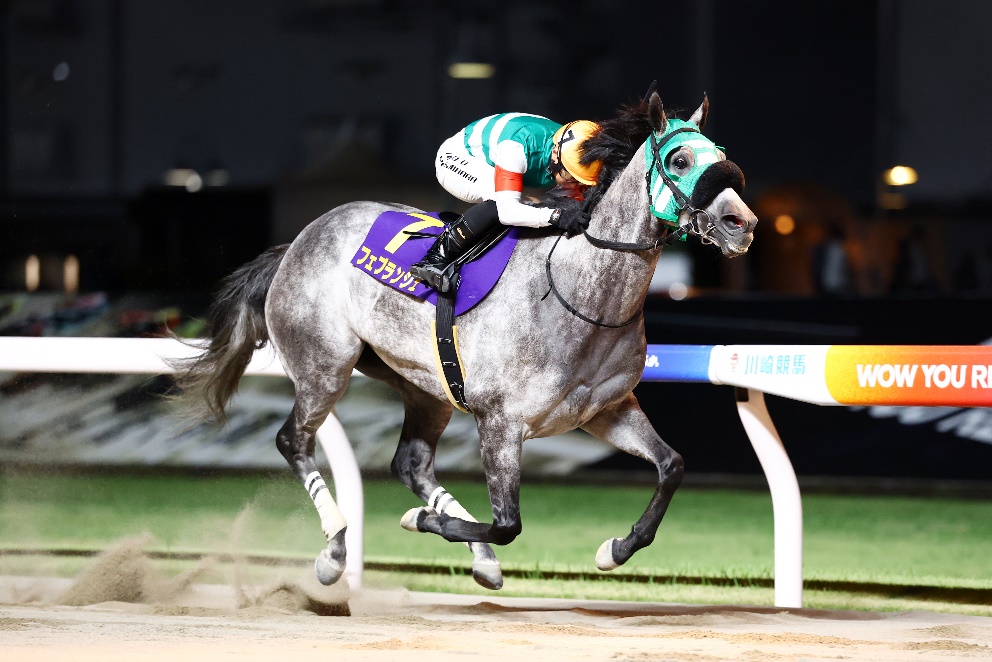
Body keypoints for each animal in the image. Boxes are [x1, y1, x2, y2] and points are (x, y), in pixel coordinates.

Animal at [173, 89, 757, 592]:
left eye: (723, 157)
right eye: (679, 159)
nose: (742, 222)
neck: (580, 294)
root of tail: (297, 241)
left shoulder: (604, 409)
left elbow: (672, 465)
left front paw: (616, 548)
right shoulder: (501, 422)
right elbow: (508, 523)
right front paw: (419, 522)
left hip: (425, 385)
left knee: (411, 462)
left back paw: (475, 558)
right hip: (325, 365)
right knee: (294, 441)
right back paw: (337, 547)